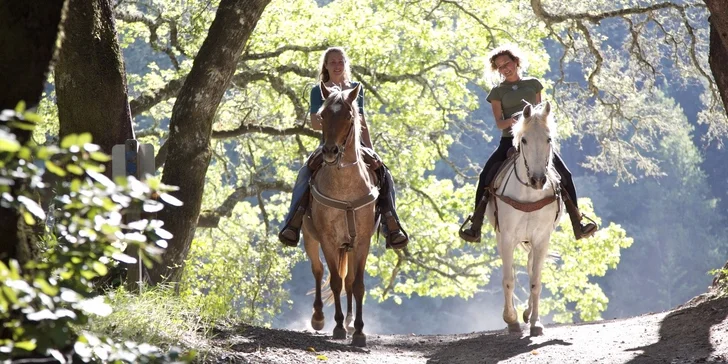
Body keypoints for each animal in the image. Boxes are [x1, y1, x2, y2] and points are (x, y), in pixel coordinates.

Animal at [302, 81, 382, 346]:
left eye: (348, 116)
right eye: (322, 115)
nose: (330, 151)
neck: (345, 188)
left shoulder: (363, 241)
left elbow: (357, 285)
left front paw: (358, 331)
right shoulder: (328, 239)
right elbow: (335, 281)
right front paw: (337, 327)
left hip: (347, 247)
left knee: (348, 281)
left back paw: (348, 322)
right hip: (310, 238)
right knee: (318, 271)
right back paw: (319, 317)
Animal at [486, 101, 564, 336]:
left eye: (549, 139)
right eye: (524, 140)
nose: (538, 180)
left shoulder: (541, 239)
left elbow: (535, 281)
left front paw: (536, 323)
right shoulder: (506, 237)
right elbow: (508, 280)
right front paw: (510, 319)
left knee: (530, 269)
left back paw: (528, 313)